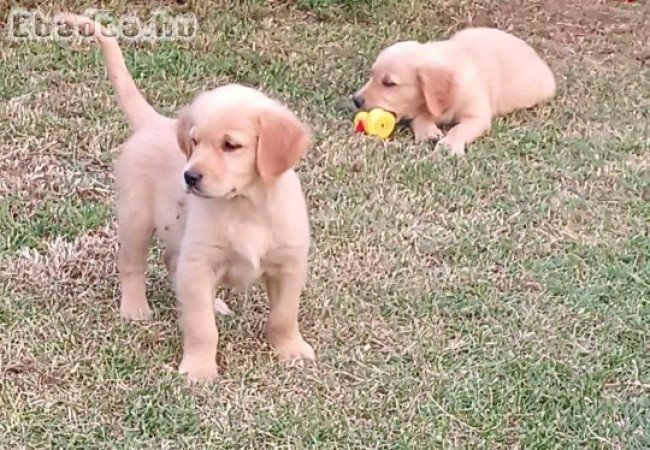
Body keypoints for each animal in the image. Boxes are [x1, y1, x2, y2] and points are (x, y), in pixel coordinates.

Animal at [60, 14, 314, 382]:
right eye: (194, 142)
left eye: (231, 145)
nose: (189, 176)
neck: (245, 206)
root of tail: (154, 122)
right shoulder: (199, 263)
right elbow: (201, 327)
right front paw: (199, 369)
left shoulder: (289, 264)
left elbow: (283, 316)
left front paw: (291, 350)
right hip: (136, 218)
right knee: (131, 264)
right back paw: (135, 307)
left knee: (171, 261)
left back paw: (215, 304)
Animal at [352, 28, 556, 156]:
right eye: (372, 75)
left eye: (389, 83)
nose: (356, 100)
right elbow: (420, 117)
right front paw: (427, 132)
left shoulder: (477, 116)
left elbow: (460, 128)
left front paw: (449, 145)